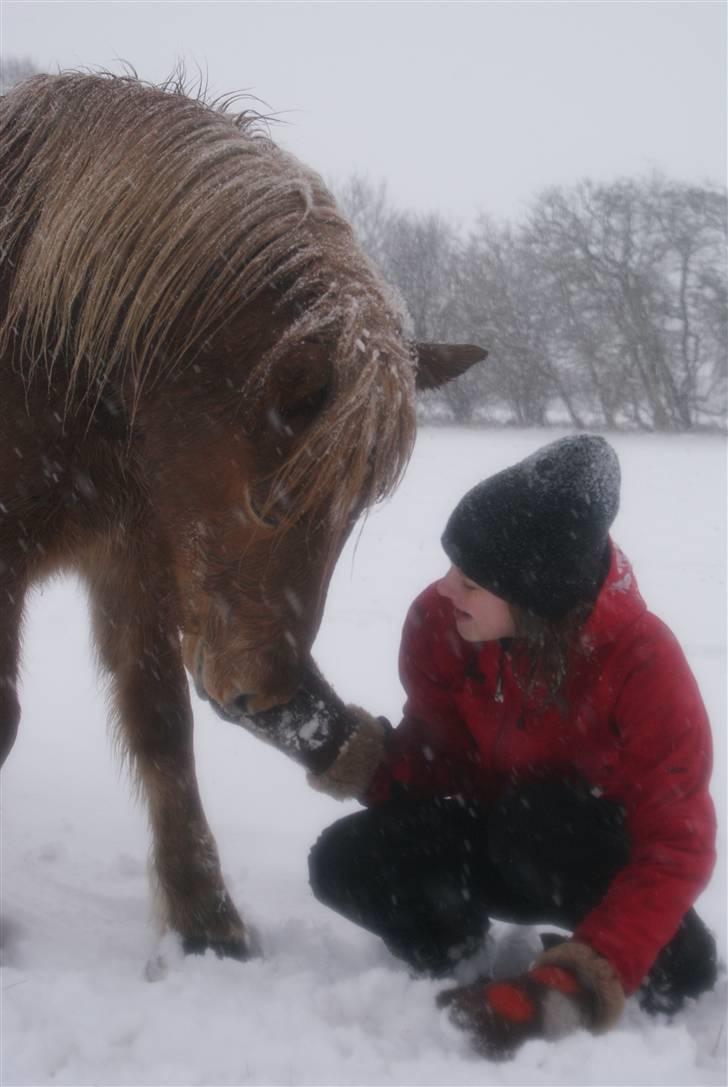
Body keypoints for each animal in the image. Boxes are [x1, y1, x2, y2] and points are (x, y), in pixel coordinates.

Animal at [1, 72, 491, 960]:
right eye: (275, 498)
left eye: (357, 508)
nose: (269, 693)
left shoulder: (135, 556)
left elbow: (162, 728)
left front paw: (206, 918)